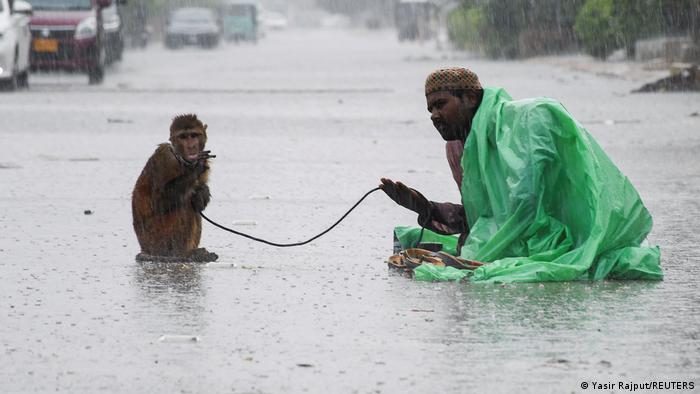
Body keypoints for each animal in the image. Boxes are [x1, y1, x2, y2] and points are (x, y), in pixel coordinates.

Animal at [131, 114, 217, 262]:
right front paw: (196, 168)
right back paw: (178, 254)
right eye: (183, 137)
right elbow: (159, 202)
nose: (191, 146)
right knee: (183, 203)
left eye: (194, 135)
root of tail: (145, 249)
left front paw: (203, 192)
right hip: (156, 237)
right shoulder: (165, 159)